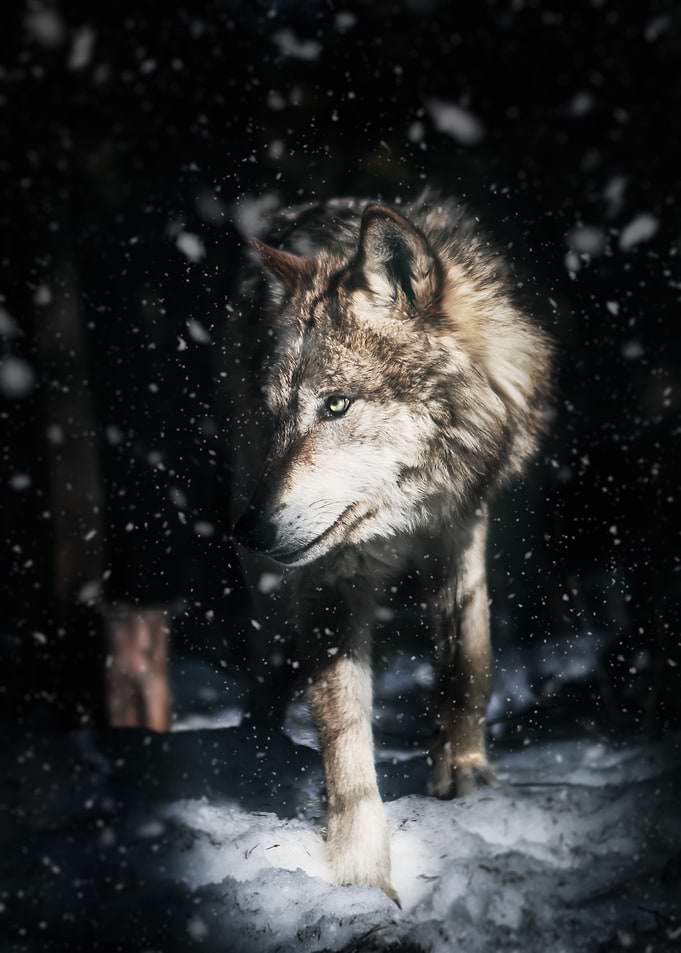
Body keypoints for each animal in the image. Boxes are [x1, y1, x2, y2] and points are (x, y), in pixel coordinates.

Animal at [227, 193, 553, 901]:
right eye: (275, 415)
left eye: (335, 405)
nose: (249, 530)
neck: (402, 516)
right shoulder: (328, 575)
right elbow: (344, 727)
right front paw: (360, 870)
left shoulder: (463, 527)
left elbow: (469, 661)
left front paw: (464, 774)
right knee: (264, 665)